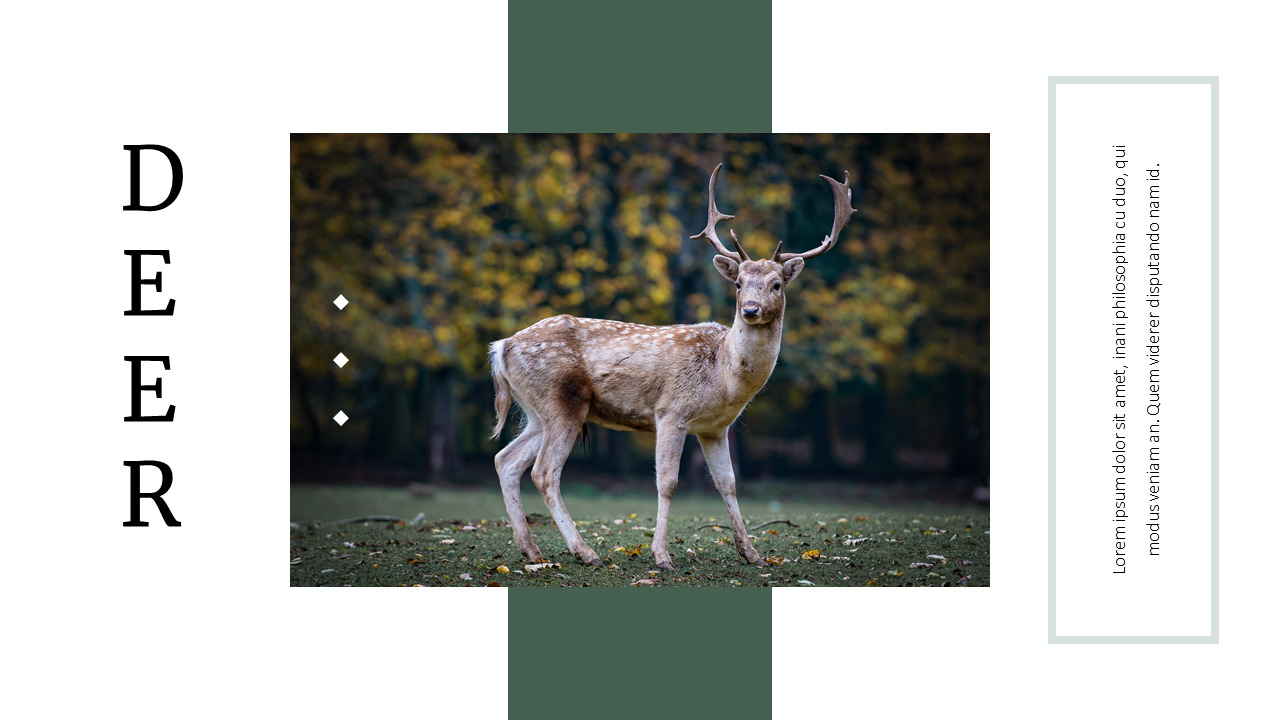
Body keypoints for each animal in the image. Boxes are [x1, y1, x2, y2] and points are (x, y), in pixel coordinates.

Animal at [488, 163, 855, 570]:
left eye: (776, 284)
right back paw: (585, 552)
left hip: (536, 411)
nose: (750, 310)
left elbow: (728, 483)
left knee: (506, 459)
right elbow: (668, 483)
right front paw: (662, 556)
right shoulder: (671, 412)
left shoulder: (714, 428)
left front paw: (752, 554)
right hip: (561, 401)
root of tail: (501, 347)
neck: (724, 376)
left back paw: (531, 550)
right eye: (739, 283)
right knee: (544, 472)